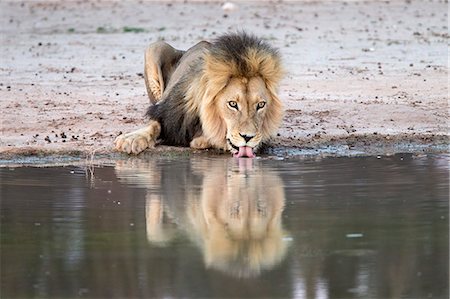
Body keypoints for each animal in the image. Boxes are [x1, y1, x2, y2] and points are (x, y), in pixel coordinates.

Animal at [116, 32, 284, 159]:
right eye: (233, 104)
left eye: (261, 105)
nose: (248, 137)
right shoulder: (167, 114)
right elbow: (154, 125)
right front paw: (131, 139)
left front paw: (203, 140)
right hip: (155, 47)